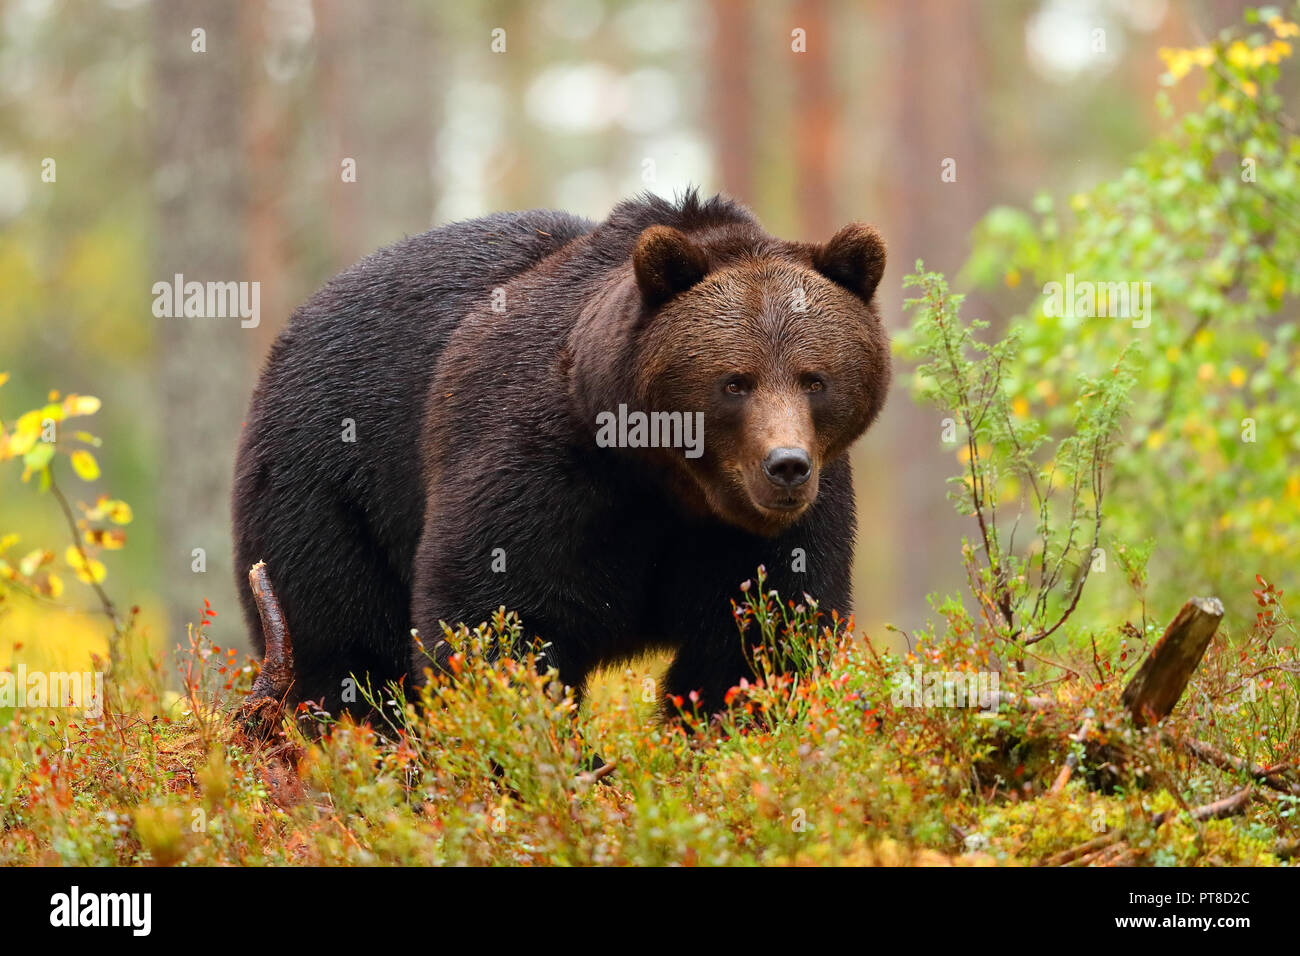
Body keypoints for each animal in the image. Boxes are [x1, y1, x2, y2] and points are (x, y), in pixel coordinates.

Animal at [231, 190, 890, 720]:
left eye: (814, 379)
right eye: (736, 382)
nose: (786, 465)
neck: (668, 478)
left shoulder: (780, 520)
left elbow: (759, 634)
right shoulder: (540, 461)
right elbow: (499, 615)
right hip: (330, 478)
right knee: (340, 635)